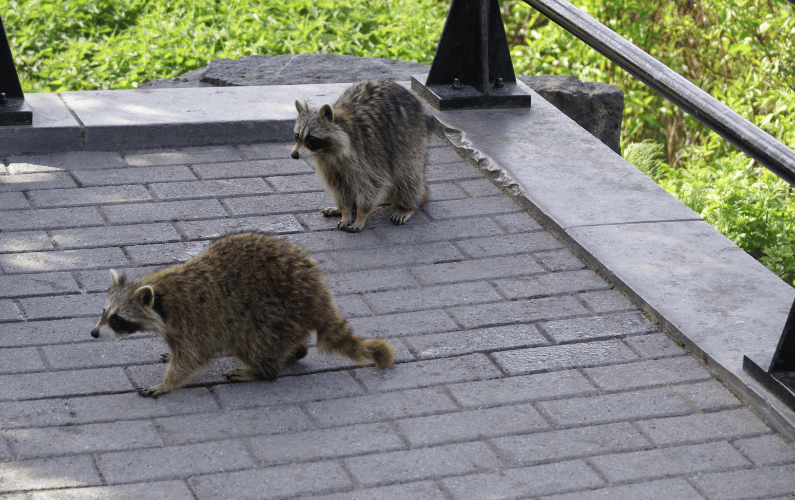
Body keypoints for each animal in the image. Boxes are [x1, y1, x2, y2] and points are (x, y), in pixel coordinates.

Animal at [90, 231, 394, 398]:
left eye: (117, 319)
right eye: (104, 312)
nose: (93, 333)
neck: (162, 296)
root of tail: (319, 295)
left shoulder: (194, 318)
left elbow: (191, 357)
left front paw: (166, 383)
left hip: (273, 312)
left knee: (252, 341)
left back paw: (259, 370)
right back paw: (293, 353)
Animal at [290, 79, 432, 232]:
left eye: (311, 138)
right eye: (297, 136)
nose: (294, 155)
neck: (328, 151)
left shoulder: (368, 153)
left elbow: (372, 183)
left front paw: (361, 214)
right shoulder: (329, 165)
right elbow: (339, 187)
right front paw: (345, 211)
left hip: (409, 138)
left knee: (407, 177)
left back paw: (407, 206)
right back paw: (346, 208)